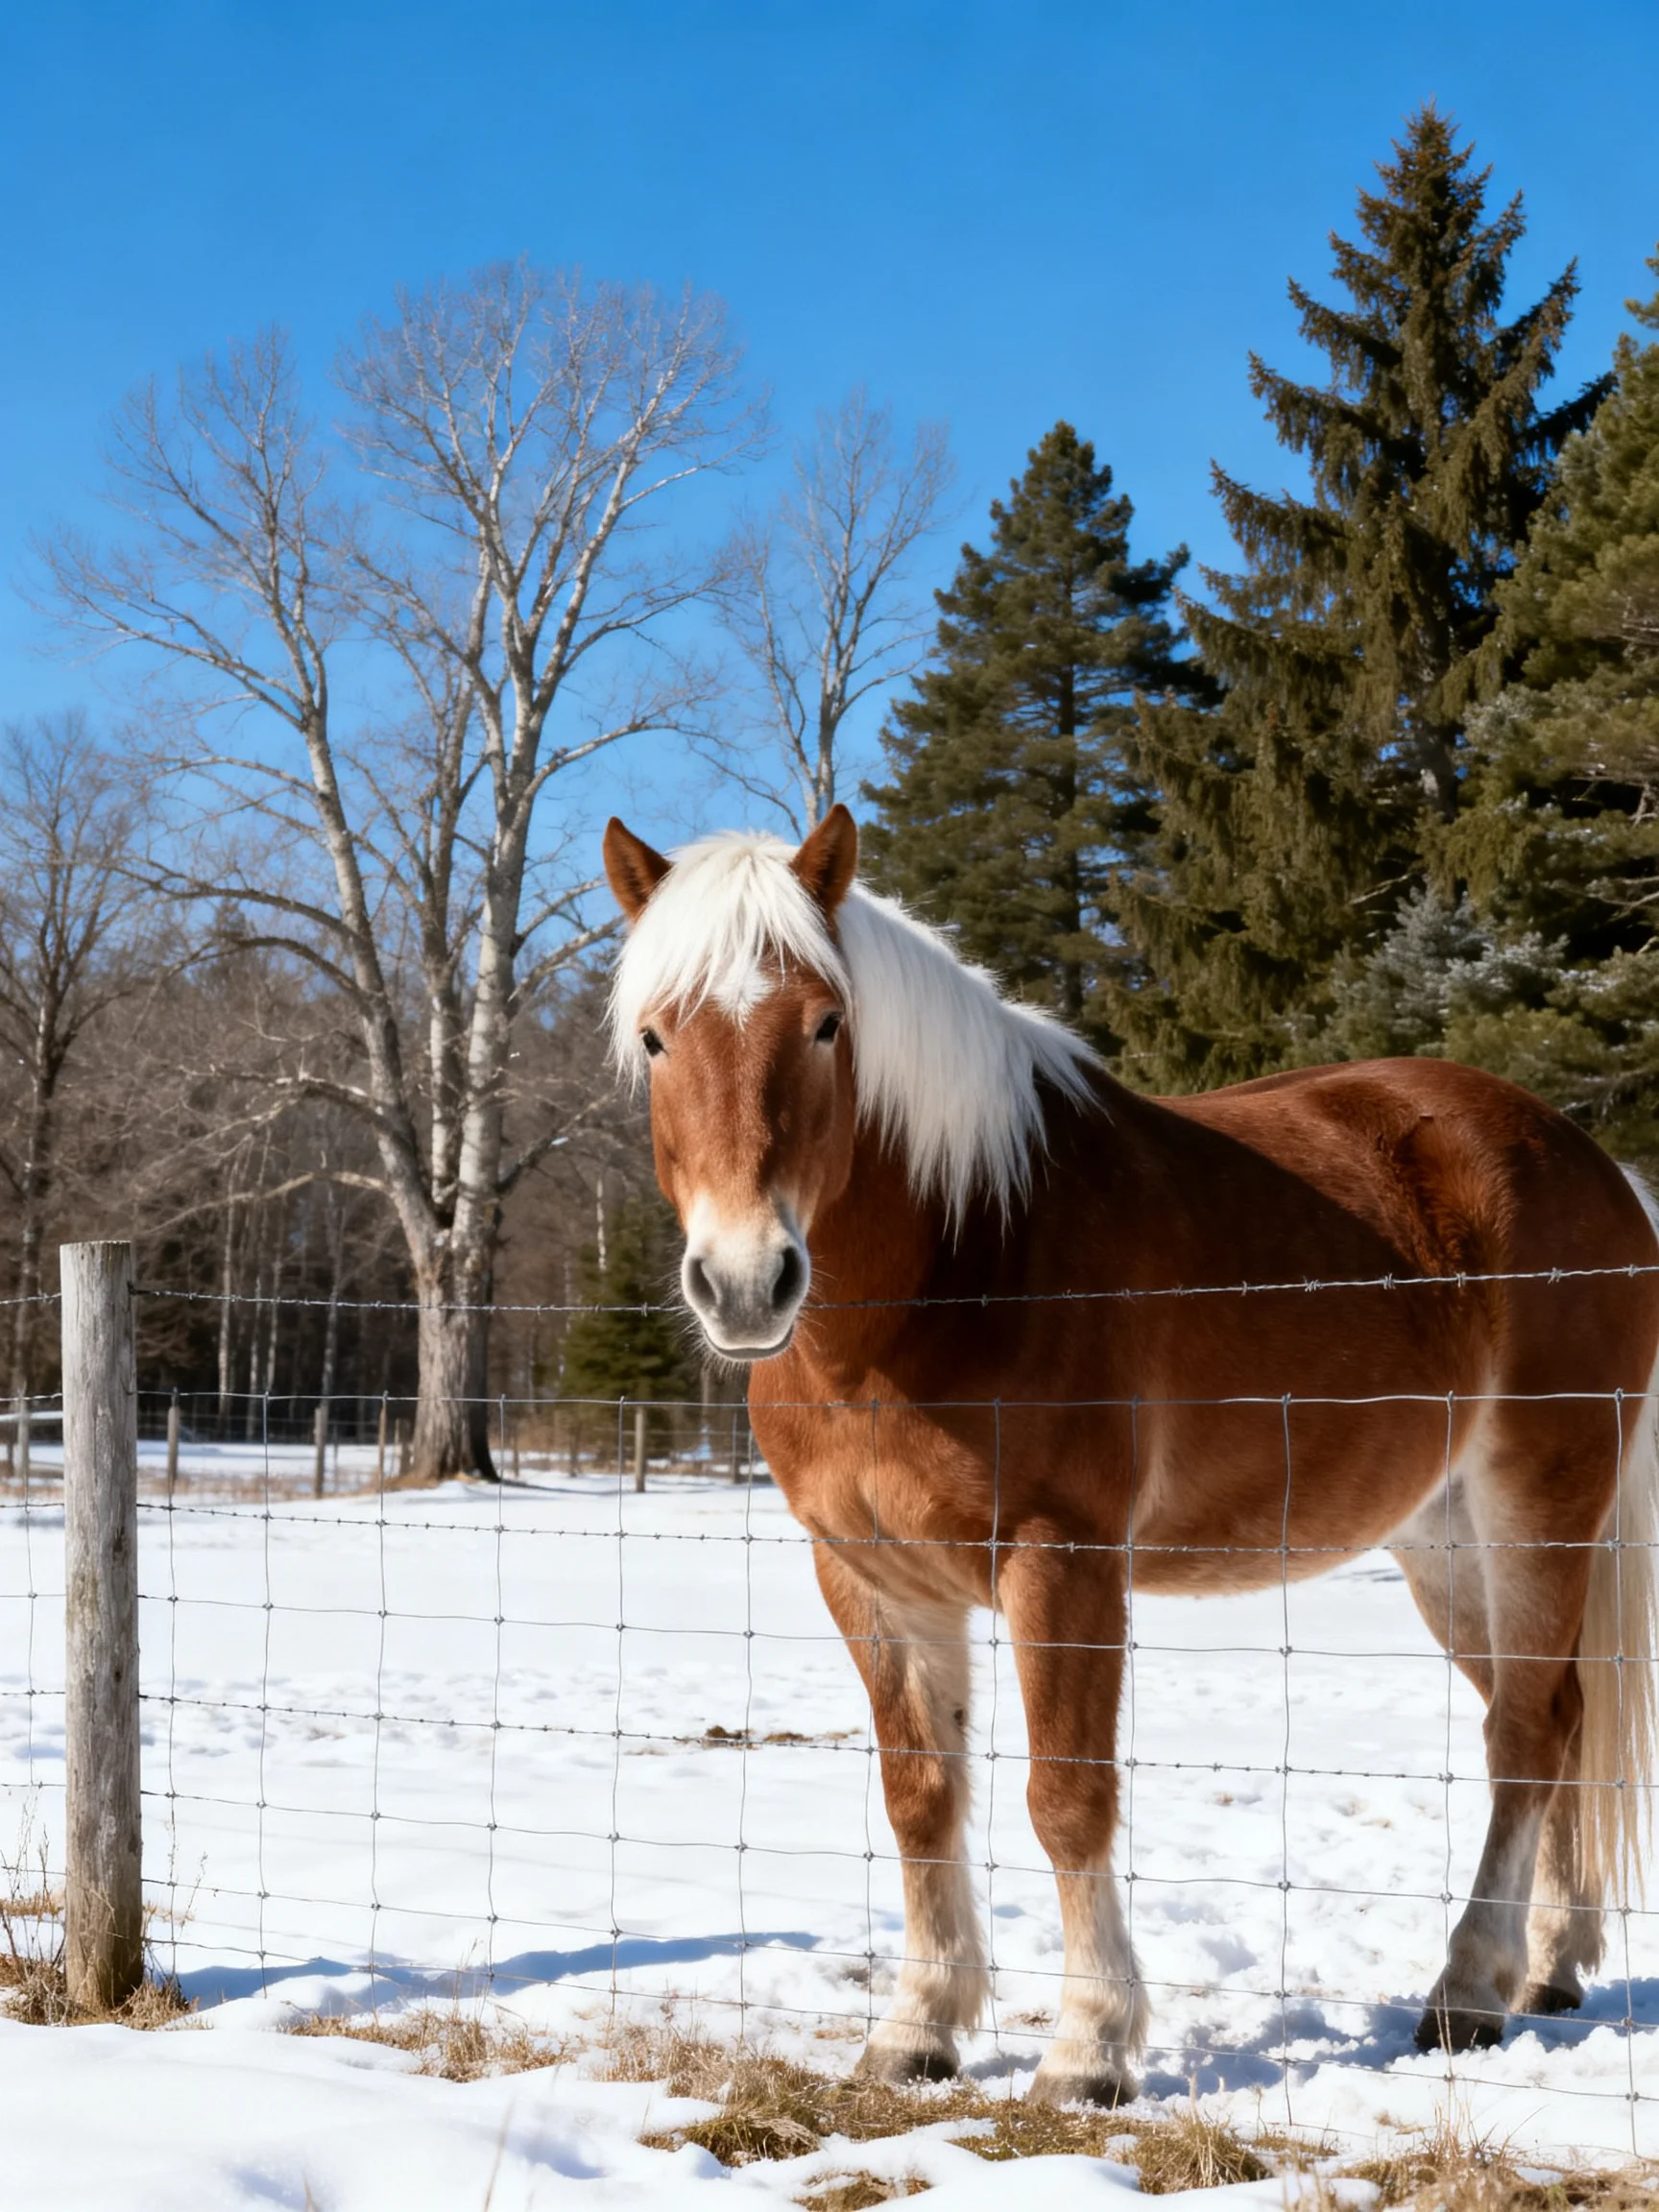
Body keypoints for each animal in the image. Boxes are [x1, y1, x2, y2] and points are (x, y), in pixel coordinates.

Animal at [601, 802, 1658, 2107]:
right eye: (655, 1037)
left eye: (826, 1023)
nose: (747, 1284)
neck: (963, 1253)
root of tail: (1598, 1167)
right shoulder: (867, 1574)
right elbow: (920, 1796)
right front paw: (917, 2032)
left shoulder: (1062, 1559)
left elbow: (1067, 1795)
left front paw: (1090, 2051)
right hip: (1445, 1538)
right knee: (1553, 1713)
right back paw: (1549, 1969)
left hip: (1535, 1504)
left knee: (1523, 1734)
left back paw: (1466, 1994)